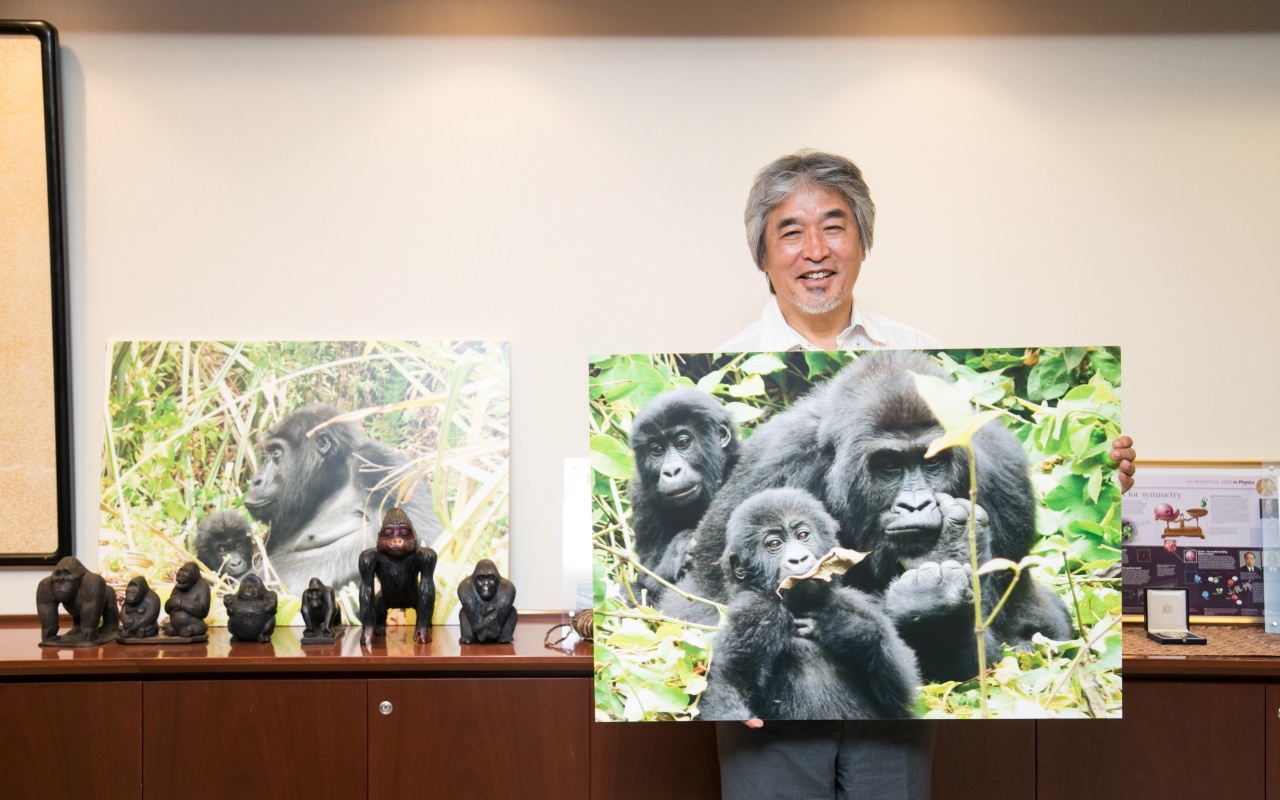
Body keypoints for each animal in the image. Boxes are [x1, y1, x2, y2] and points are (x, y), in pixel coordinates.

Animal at [665, 348, 1075, 680]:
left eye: (932, 461)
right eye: (889, 465)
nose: (915, 505)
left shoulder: (1004, 469)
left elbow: (1002, 644)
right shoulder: (772, 463)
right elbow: (703, 609)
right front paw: (919, 599)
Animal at [701, 483, 921, 721]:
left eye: (803, 535)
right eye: (774, 544)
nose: (798, 559)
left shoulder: (856, 602)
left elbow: (898, 691)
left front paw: (845, 628)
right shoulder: (757, 611)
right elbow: (731, 679)